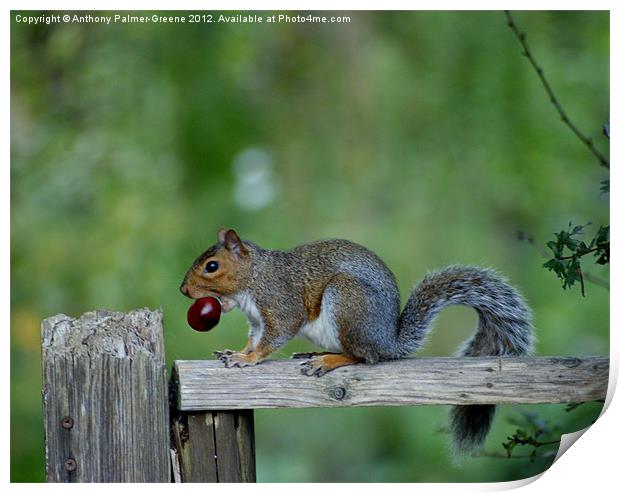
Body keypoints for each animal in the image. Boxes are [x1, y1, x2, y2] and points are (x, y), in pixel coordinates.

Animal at [179, 229, 532, 452]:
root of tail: (389, 341)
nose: (183, 290)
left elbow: (274, 336)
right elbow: (254, 339)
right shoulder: (255, 320)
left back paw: (329, 360)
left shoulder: (280, 304)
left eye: (212, 266)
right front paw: (238, 352)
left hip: (347, 301)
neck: (254, 277)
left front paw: (249, 359)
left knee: (365, 357)